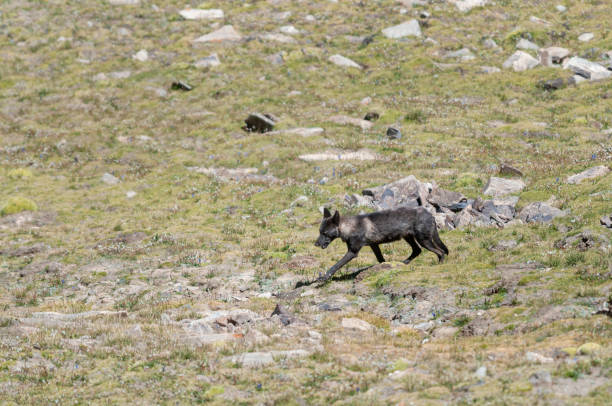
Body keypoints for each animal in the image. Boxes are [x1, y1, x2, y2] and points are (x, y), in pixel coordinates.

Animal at [316, 206, 450, 282]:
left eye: (325, 233)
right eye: (319, 232)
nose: (315, 244)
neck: (350, 227)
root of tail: (431, 215)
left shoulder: (353, 252)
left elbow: (336, 266)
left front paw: (324, 278)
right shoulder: (374, 245)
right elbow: (381, 259)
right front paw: (384, 268)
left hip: (424, 241)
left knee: (440, 252)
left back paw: (440, 264)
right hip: (410, 238)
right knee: (417, 250)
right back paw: (404, 263)